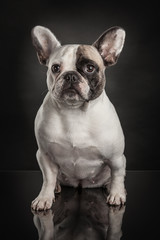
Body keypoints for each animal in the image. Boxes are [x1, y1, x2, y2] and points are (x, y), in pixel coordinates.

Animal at [31, 25, 126, 211]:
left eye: (90, 68)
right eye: (55, 68)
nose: (70, 75)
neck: (74, 111)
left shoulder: (116, 157)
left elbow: (118, 176)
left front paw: (117, 194)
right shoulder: (44, 155)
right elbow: (48, 179)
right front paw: (44, 197)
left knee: (114, 177)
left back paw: (111, 187)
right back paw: (56, 187)